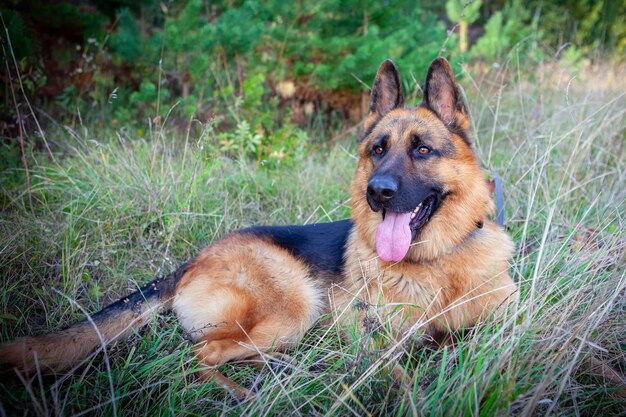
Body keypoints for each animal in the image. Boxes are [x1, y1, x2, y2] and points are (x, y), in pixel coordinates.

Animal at [0, 57, 516, 396]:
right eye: (378, 150)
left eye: (423, 150)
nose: (378, 192)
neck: (438, 263)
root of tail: (192, 261)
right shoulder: (374, 343)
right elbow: (406, 382)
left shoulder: (501, 325)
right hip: (292, 307)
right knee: (195, 358)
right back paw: (243, 392)